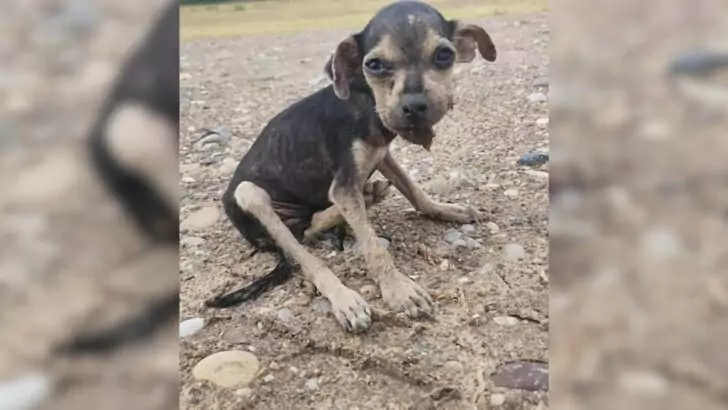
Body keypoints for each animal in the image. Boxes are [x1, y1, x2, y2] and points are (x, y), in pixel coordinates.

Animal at [208, 0, 498, 334]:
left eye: (444, 55)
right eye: (374, 65)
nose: (414, 108)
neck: (366, 102)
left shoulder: (382, 155)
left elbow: (416, 192)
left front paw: (448, 210)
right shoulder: (344, 185)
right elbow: (374, 247)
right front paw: (398, 290)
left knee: (308, 228)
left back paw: (365, 197)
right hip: (249, 193)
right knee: (305, 253)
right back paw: (345, 298)